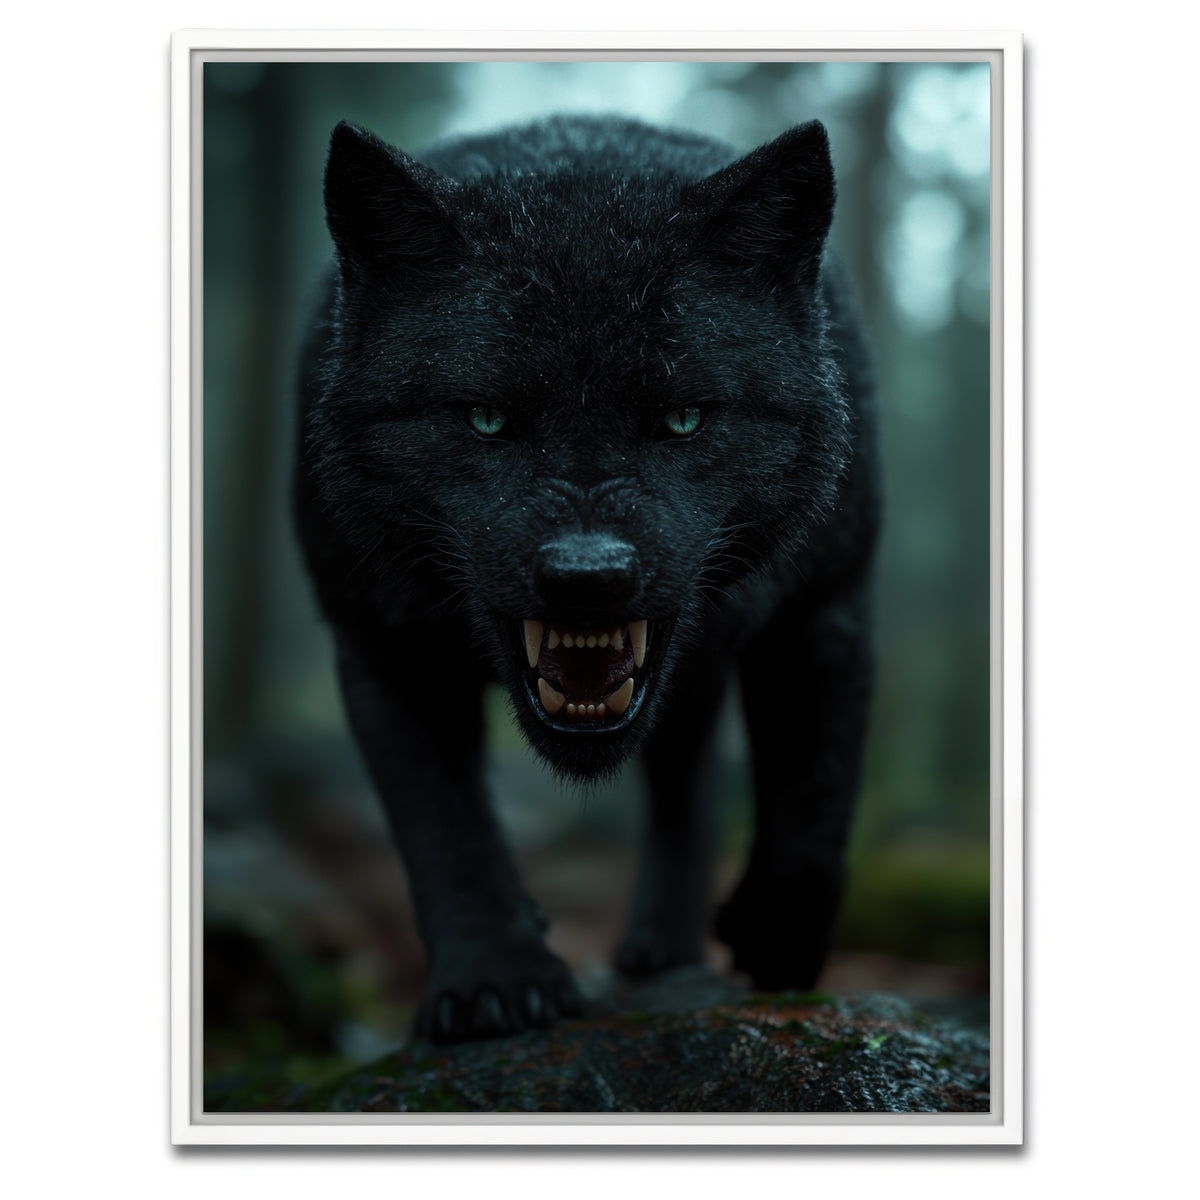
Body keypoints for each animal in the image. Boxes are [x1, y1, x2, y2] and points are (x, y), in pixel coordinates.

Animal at [295, 115, 879, 1042]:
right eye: (486, 418)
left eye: (682, 417)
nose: (587, 575)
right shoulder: (380, 642)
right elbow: (442, 825)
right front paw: (496, 982)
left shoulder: (828, 603)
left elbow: (816, 788)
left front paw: (779, 943)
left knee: (689, 790)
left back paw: (665, 951)